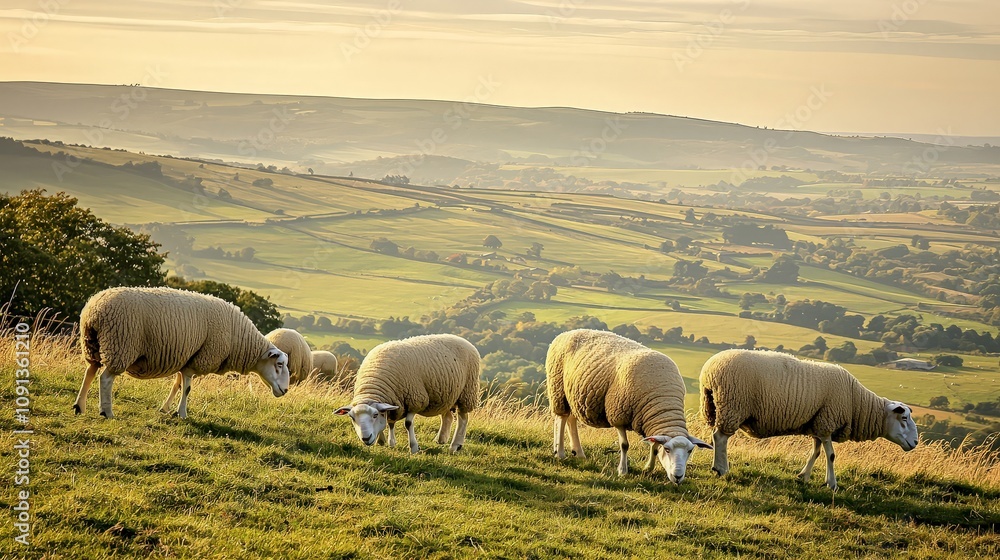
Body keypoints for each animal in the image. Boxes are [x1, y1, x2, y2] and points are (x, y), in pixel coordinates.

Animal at [73, 287, 291, 419]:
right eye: (279, 365)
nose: (286, 390)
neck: (239, 340)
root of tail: (94, 310)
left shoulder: (186, 359)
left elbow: (177, 385)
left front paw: (166, 409)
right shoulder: (197, 360)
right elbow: (186, 388)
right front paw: (182, 413)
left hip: (92, 344)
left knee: (90, 371)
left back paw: (79, 406)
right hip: (120, 344)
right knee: (105, 378)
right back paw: (106, 411)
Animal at [335, 334, 480, 453]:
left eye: (375, 415)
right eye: (352, 418)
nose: (366, 439)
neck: (373, 386)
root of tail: (461, 339)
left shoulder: (415, 400)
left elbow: (408, 424)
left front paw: (414, 448)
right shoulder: (395, 401)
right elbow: (390, 422)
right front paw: (385, 442)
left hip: (467, 392)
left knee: (463, 418)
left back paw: (455, 446)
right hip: (446, 394)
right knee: (447, 416)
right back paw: (440, 439)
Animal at [546, 329, 711, 484]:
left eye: (690, 451)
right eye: (667, 449)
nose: (678, 477)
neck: (664, 404)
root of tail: (566, 333)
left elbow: (654, 447)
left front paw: (648, 468)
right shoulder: (618, 415)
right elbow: (624, 445)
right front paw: (622, 471)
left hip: (574, 396)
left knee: (570, 420)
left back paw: (577, 453)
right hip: (558, 389)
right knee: (561, 419)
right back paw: (560, 452)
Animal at [700, 349, 919, 490]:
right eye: (904, 418)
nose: (916, 442)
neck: (856, 402)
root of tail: (709, 370)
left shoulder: (818, 424)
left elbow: (816, 452)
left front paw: (804, 476)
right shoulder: (827, 421)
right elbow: (831, 455)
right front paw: (832, 484)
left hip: (719, 406)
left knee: (717, 436)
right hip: (733, 404)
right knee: (720, 437)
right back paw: (721, 469)